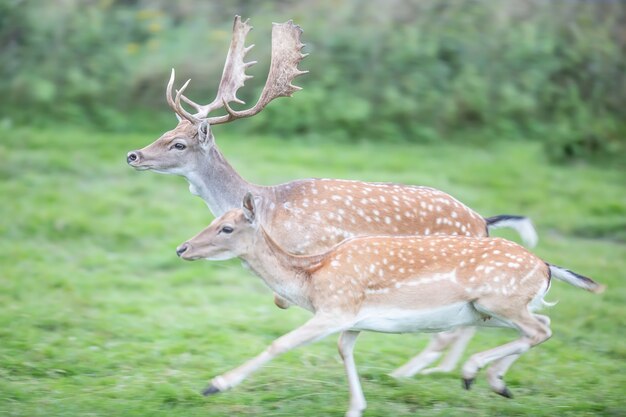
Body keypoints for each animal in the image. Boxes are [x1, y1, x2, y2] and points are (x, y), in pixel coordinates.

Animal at [125, 15, 536, 374]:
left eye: (178, 144)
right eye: (164, 132)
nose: (133, 155)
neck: (270, 207)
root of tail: (483, 221)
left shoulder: (314, 250)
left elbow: (283, 298)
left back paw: (414, 372)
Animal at [174, 193, 600, 416]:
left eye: (227, 227)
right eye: (214, 219)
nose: (182, 248)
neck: (311, 279)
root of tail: (546, 266)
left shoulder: (336, 307)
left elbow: (280, 343)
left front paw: (215, 385)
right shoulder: (353, 321)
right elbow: (344, 350)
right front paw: (355, 408)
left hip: (498, 299)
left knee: (538, 328)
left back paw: (474, 373)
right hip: (489, 311)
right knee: (543, 324)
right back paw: (495, 382)